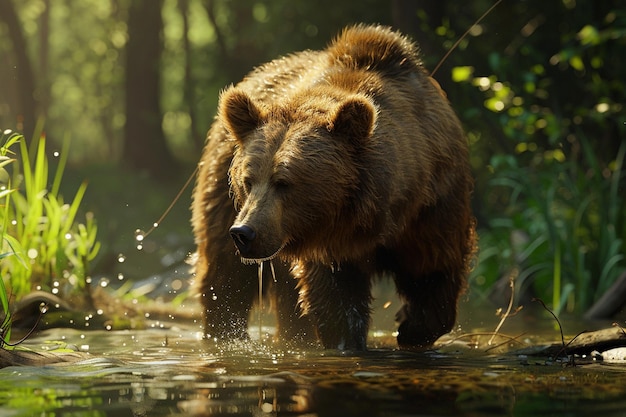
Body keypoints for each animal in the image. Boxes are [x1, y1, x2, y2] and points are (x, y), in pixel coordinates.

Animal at [190, 22, 472, 348]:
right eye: (248, 180)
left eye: (284, 182)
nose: (245, 232)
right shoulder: (329, 245)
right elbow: (336, 298)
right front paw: (347, 340)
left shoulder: (434, 205)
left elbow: (434, 269)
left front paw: (411, 326)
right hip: (220, 191)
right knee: (225, 277)